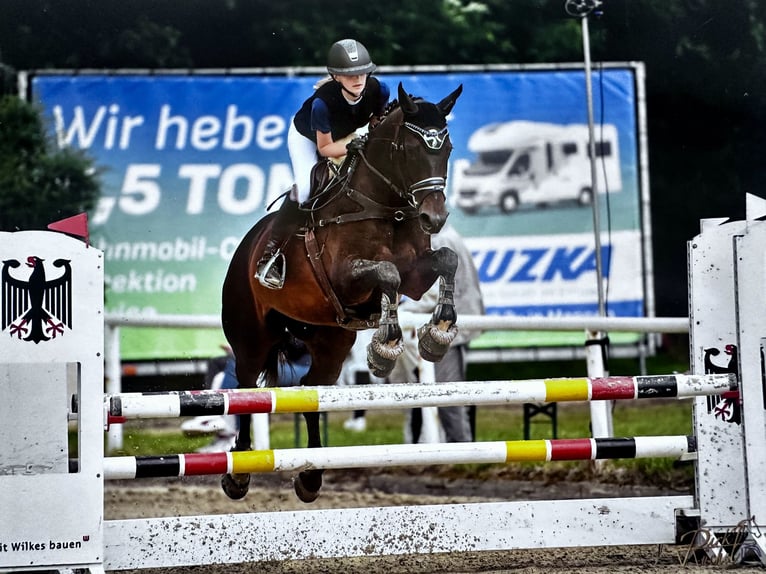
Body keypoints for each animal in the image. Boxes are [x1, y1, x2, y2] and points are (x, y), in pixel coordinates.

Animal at [219, 82, 464, 504]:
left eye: (446, 148)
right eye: (410, 149)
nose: (434, 218)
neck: (385, 205)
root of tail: (244, 252)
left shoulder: (416, 275)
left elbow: (445, 259)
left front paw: (436, 335)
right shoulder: (346, 278)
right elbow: (387, 273)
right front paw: (386, 347)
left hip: (330, 342)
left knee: (309, 390)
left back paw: (311, 478)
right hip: (251, 336)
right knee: (247, 388)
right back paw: (239, 473)